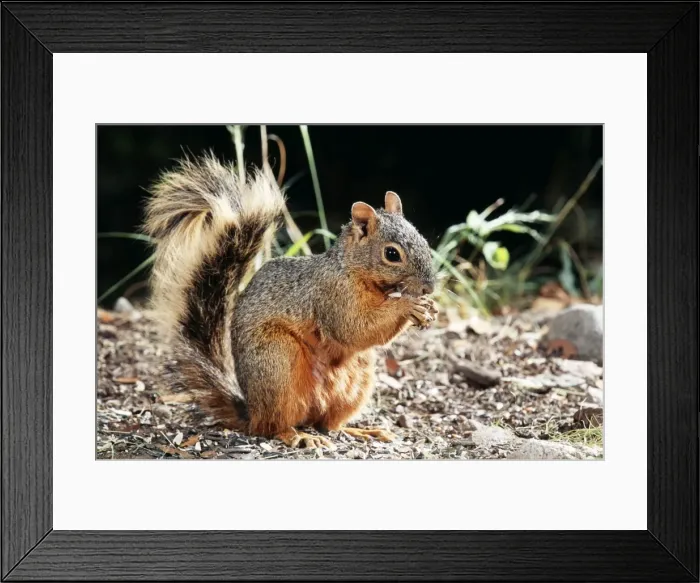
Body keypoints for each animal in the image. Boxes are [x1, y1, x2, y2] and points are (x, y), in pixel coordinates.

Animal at [143, 153, 438, 449]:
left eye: (423, 239)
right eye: (392, 254)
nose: (430, 287)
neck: (354, 271)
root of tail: (251, 411)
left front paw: (429, 309)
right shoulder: (332, 296)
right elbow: (353, 328)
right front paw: (408, 305)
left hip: (357, 378)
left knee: (329, 424)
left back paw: (361, 431)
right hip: (278, 362)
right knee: (272, 427)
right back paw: (298, 436)